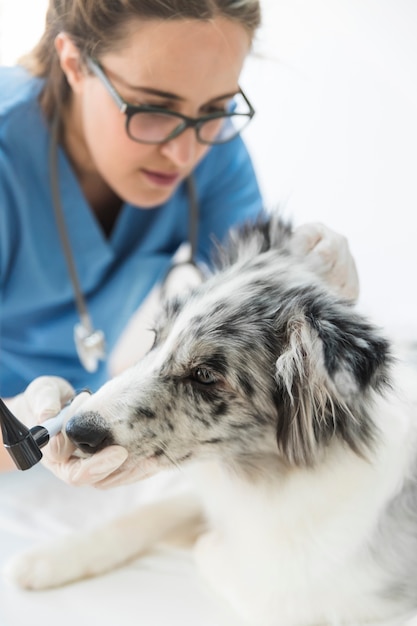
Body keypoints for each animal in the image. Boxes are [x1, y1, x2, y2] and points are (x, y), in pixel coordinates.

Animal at [4, 216, 416, 624]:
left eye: (204, 375)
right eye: (154, 338)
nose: (76, 430)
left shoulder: (302, 597)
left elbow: (213, 551)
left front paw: (207, 538)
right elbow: (151, 512)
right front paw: (43, 560)